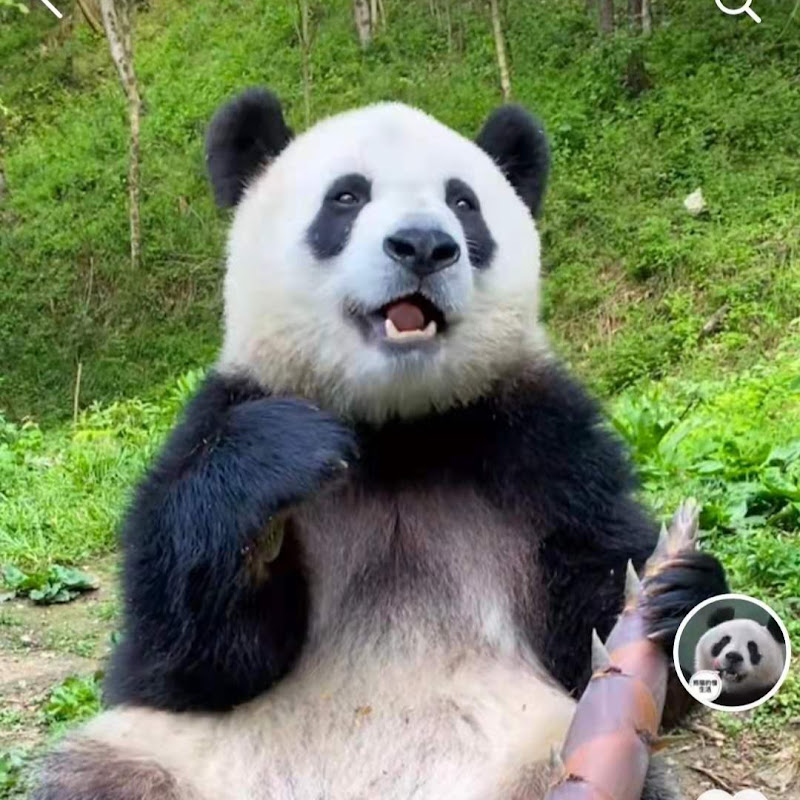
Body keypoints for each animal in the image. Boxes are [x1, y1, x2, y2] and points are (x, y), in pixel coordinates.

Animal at [34, 88, 729, 800]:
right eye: (346, 197)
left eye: (463, 203)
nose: (423, 245)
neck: (398, 427)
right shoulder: (219, 412)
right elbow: (184, 659)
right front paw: (288, 454)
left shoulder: (541, 440)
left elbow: (591, 615)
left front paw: (680, 594)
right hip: (180, 759)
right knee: (103, 771)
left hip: (537, 753)